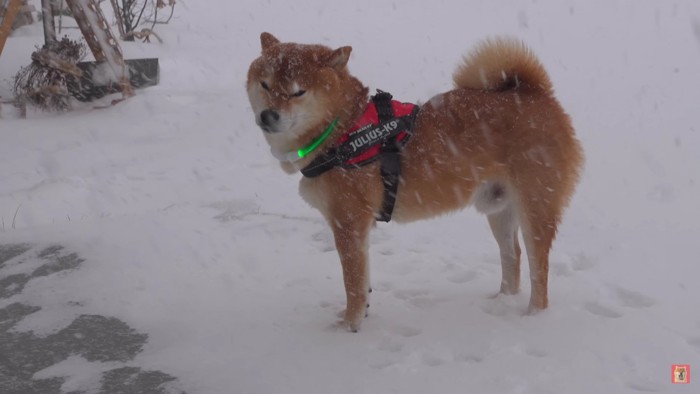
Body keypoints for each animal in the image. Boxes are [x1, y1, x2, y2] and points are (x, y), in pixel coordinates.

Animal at [246, 32, 584, 330]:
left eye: (298, 92)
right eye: (265, 84)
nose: (268, 116)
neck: (343, 129)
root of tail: (536, 94)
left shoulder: (349, 223)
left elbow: (353, 284)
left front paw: (349, 328)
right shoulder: (357, 228)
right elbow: (363, 283)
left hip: (536, 209)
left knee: (538, 270)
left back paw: (533, 318)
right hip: (499, 210)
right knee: (512, 257)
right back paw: (500, 303)